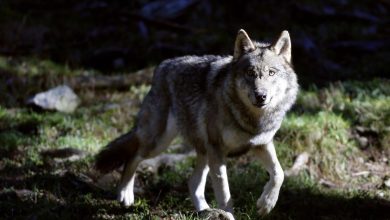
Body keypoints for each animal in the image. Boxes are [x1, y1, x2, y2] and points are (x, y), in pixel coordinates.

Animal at [96, 28, 300, 218]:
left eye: (271, 73)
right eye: (250, 73)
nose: (260, 95)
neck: (252, 120)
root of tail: (162, 65)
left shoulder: (261, 144)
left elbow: (279, 173)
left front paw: (266, 204)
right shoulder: (218, 150)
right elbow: (225, 195)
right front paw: (228, 214)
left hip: (202, 152)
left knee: (192, 182)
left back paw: (204, 210)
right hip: (159, 143)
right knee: (133, 155)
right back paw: (125, 194)